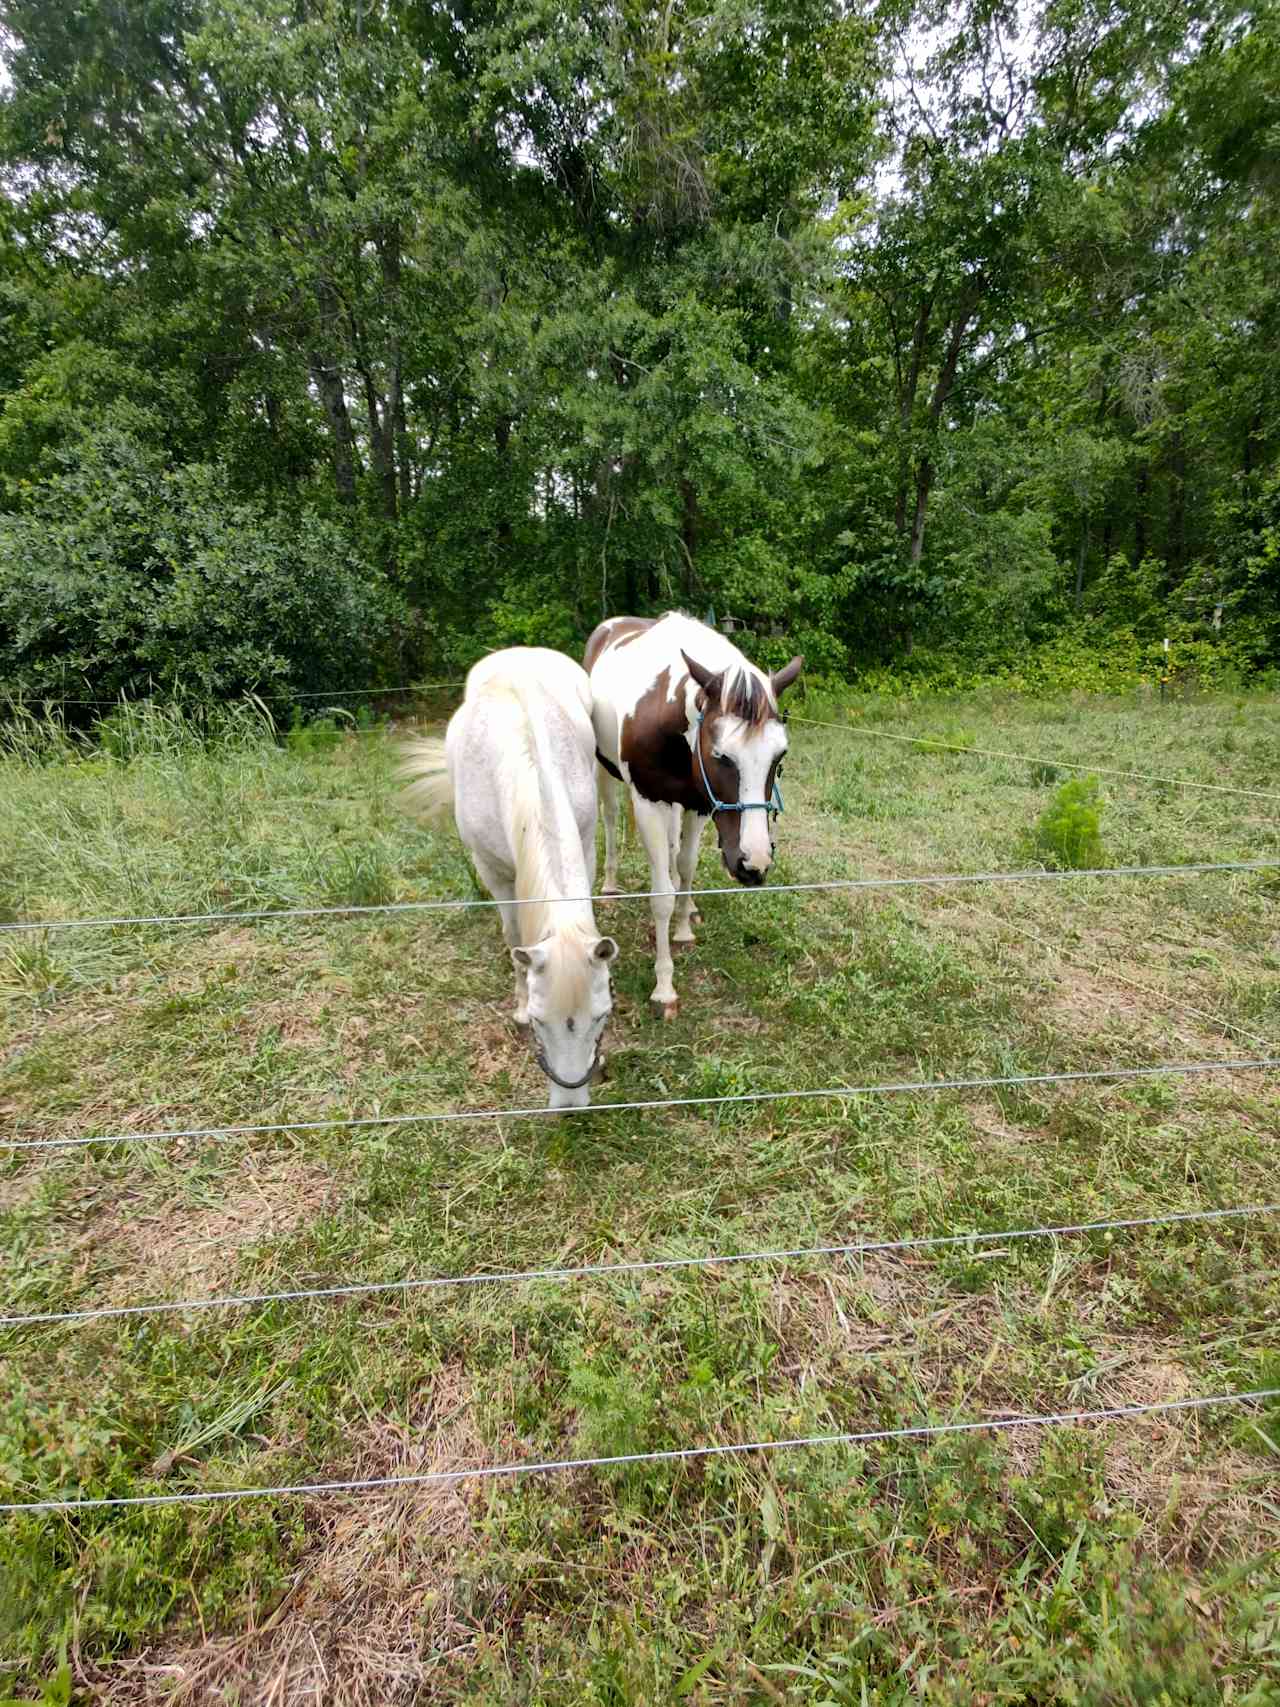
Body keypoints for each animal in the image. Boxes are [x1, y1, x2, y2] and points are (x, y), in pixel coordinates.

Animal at [402, 641, 617, 1106]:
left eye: (601, 1016)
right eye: (537, 1021)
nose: (570, 1105)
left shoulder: (586, 846)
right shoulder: (494, 871)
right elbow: (513, 932)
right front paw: (516, 1003)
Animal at [583, 611, 802, 1010]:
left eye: (779, 757)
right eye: (721, 755)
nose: (754, 864)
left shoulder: (699, 806)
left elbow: (685, 867)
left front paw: (683, 927)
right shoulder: (649, 804)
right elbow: (661, 897)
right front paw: (664, 985)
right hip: (603, 771)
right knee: (609, 815)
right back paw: (608, 884)